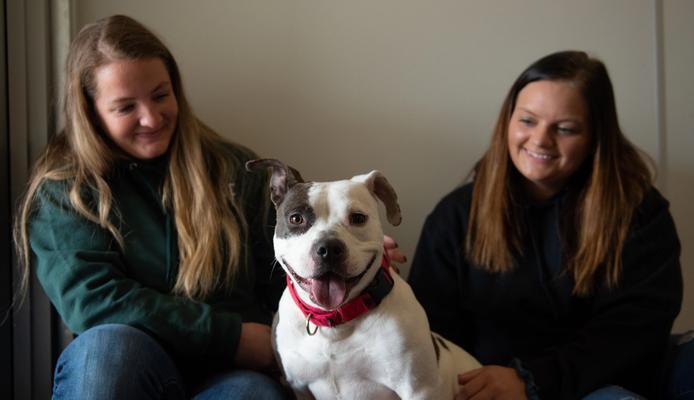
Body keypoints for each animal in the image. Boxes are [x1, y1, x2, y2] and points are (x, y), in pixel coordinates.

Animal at [247, 159, 482, 400]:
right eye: (296, 218)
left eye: (358, 218)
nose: (329, 248)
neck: (336, 323)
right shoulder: (299, 387)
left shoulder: (419, 390)